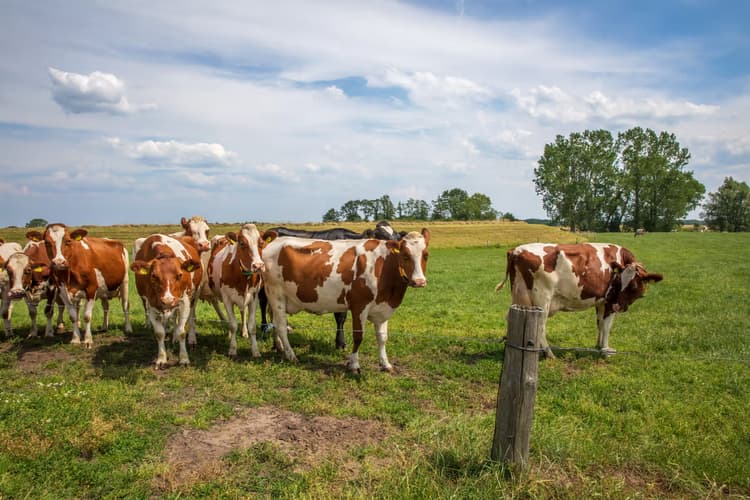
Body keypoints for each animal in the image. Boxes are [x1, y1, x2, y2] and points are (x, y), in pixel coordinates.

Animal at [131, 234, 202, 367]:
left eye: (180, 275)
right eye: (154, 276)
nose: (168, 300)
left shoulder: (184, 301)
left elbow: (181, 332)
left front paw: (184, 358)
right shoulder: (151, 304)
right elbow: (159, 333)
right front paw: (161, 358)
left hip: (194, 295)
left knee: (189, 316)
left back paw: (187, 338)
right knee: (173, 318)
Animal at [207, 224, 266, 358]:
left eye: (261, 243)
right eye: (242, 243)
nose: (258, 266)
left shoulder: (253, 298)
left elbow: (252, 326)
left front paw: (255, 351)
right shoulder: (227, 299)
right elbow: (233, 324)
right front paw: (232, 349)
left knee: (243, 312)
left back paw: (244, 332)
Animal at [260, 228, 430, 373]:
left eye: (426, 255)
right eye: (405, 255)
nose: (419, 281)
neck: (383, 267)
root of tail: (272, 242)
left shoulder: (383, 308)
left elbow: (382, 338)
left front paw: (385, 364)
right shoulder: (359, 306)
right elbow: (358, 336)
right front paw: (354, 364)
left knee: (276, 323)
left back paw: (279, 348)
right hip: (275, 294)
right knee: (281, 326)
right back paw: (291, 355)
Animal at [496, 243, 663, 358]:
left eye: (633, 285)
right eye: (620, 282)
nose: (618, 306)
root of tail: (516, 250)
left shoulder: (601, 302)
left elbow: (599, 324)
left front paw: (598, 346)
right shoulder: (609, 301)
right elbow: (606, 326)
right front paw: (606, 351)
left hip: (519, 295)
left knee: (511, 317)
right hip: (542, 300)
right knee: (540, 326)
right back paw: (549, 354)